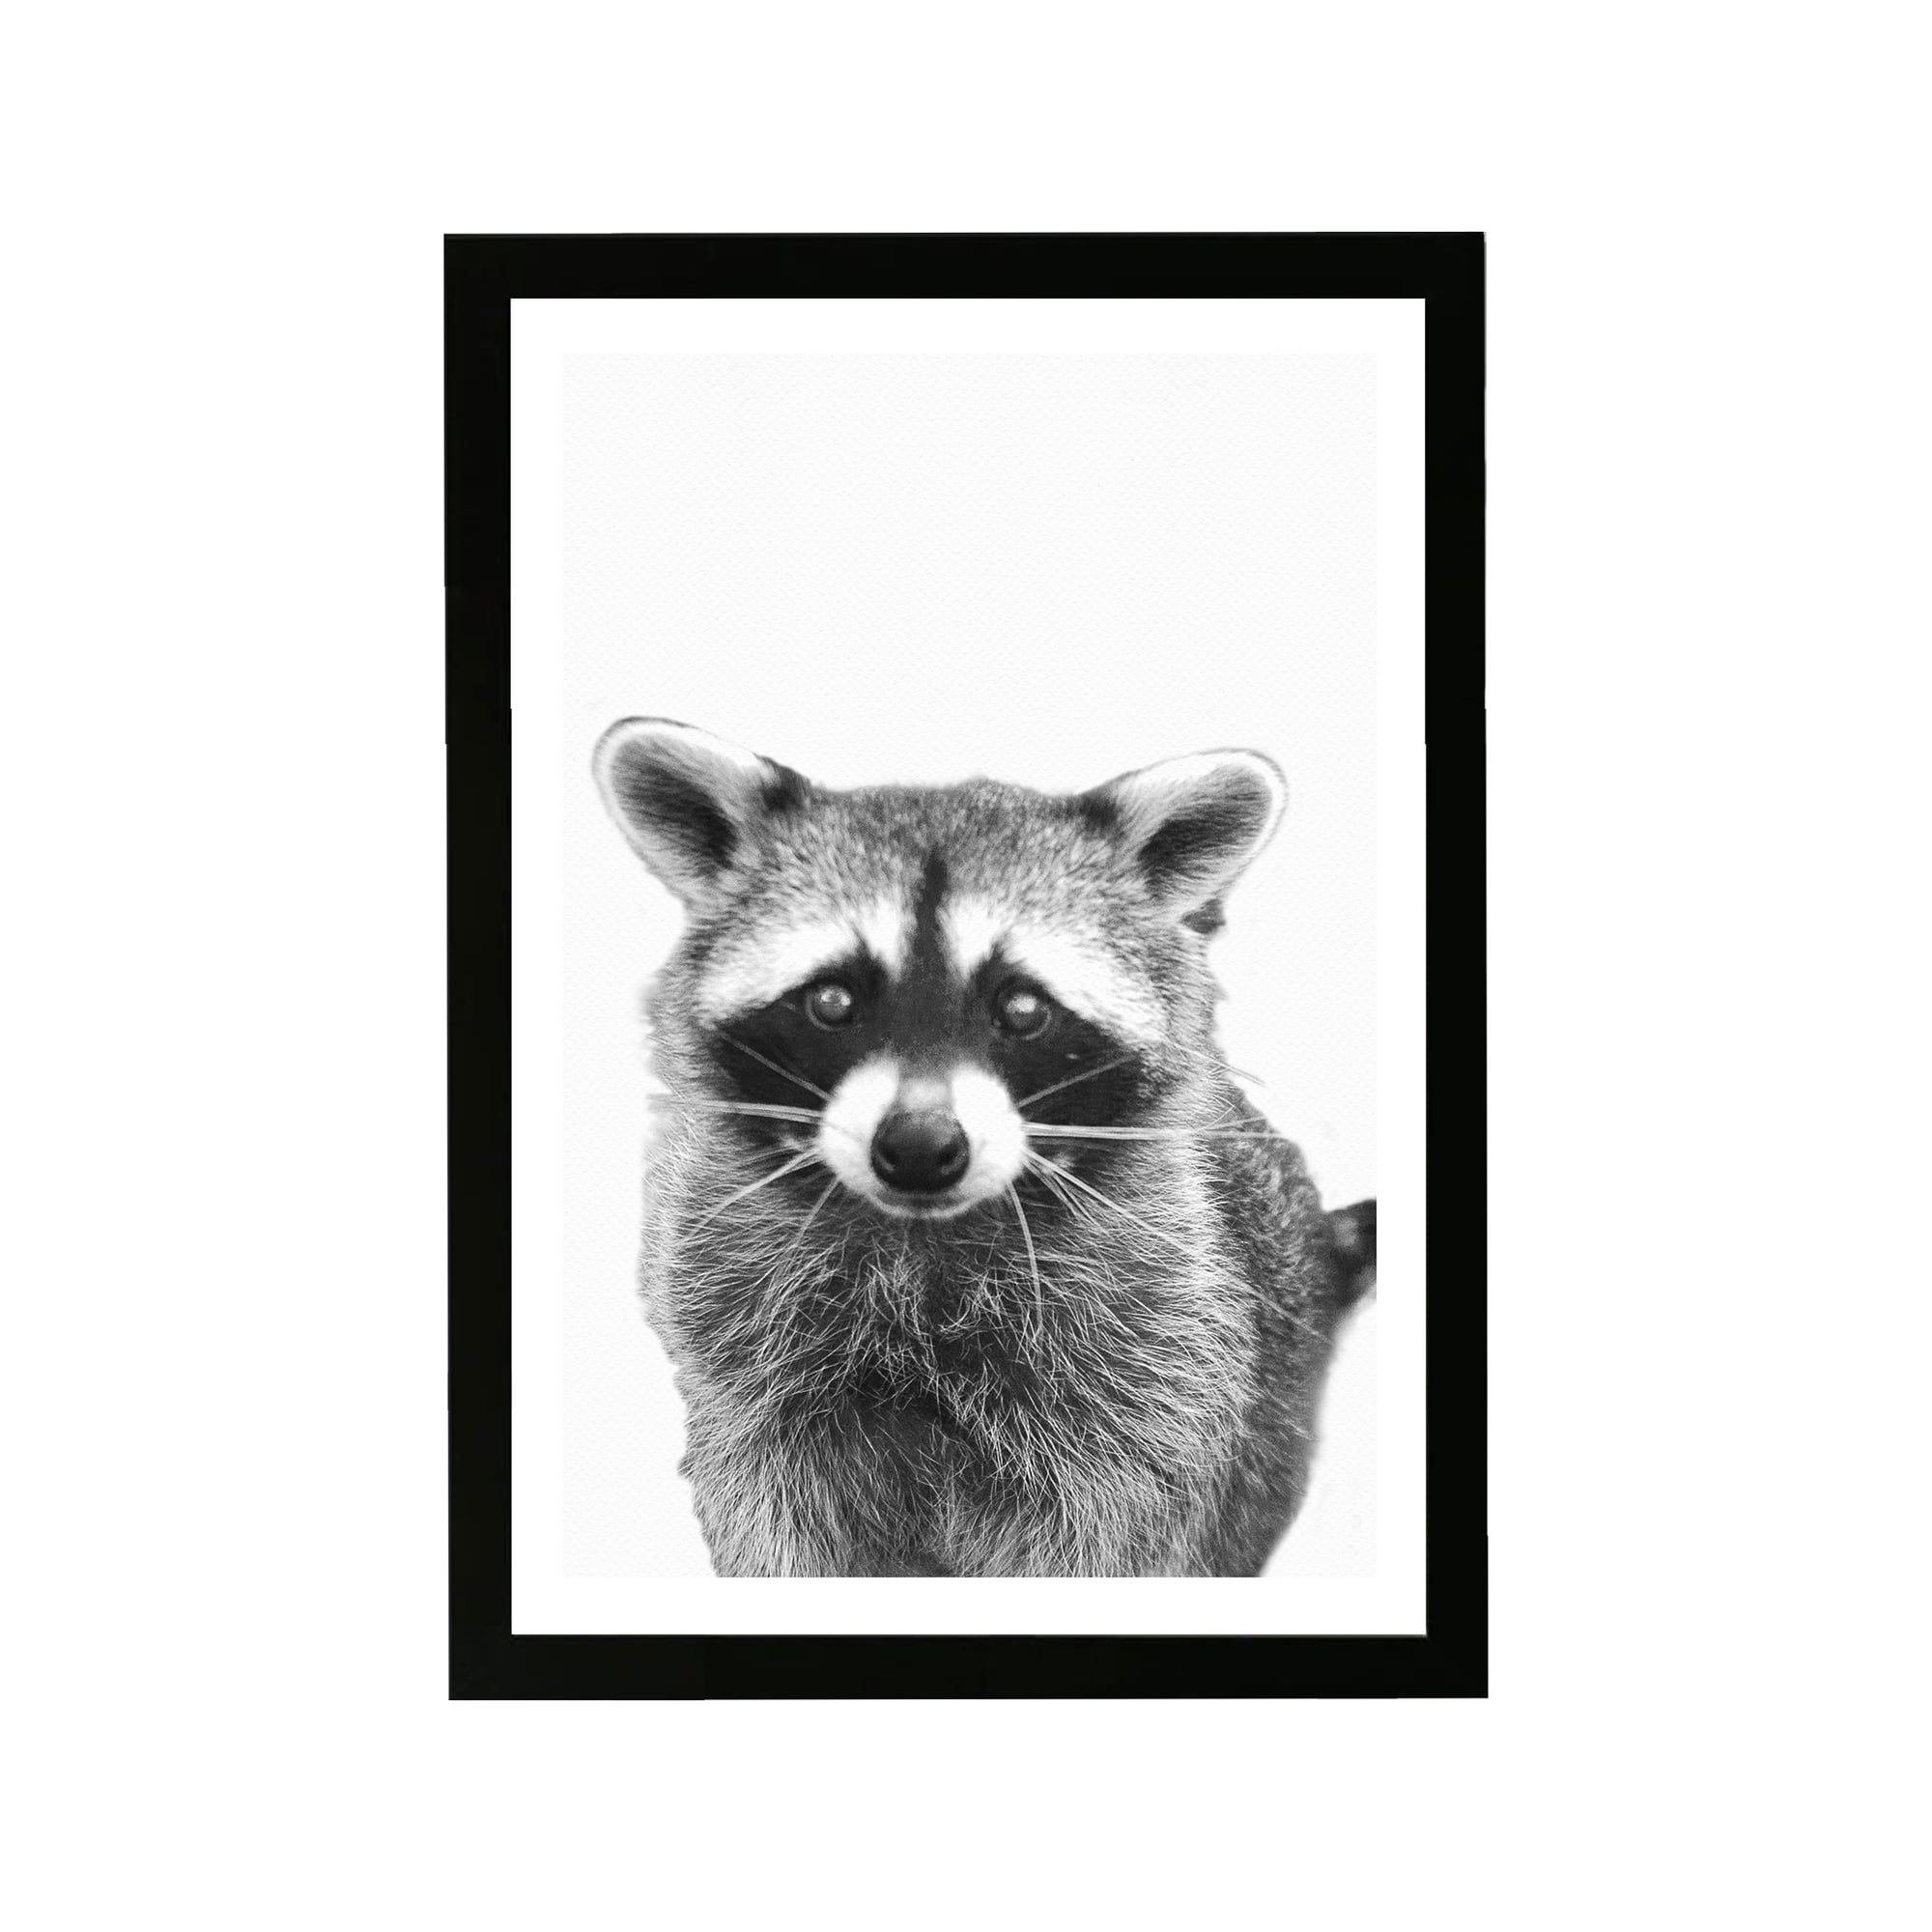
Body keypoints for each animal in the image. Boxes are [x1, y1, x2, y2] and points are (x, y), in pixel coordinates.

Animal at [594, 718, 1377, 1577]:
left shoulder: (1152, 1364)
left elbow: (1111, 1527)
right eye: (832, 1000)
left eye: (1024, 1007)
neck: (921, 1241)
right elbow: (776, 1520)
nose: (918, 1148)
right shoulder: (747, 1359)